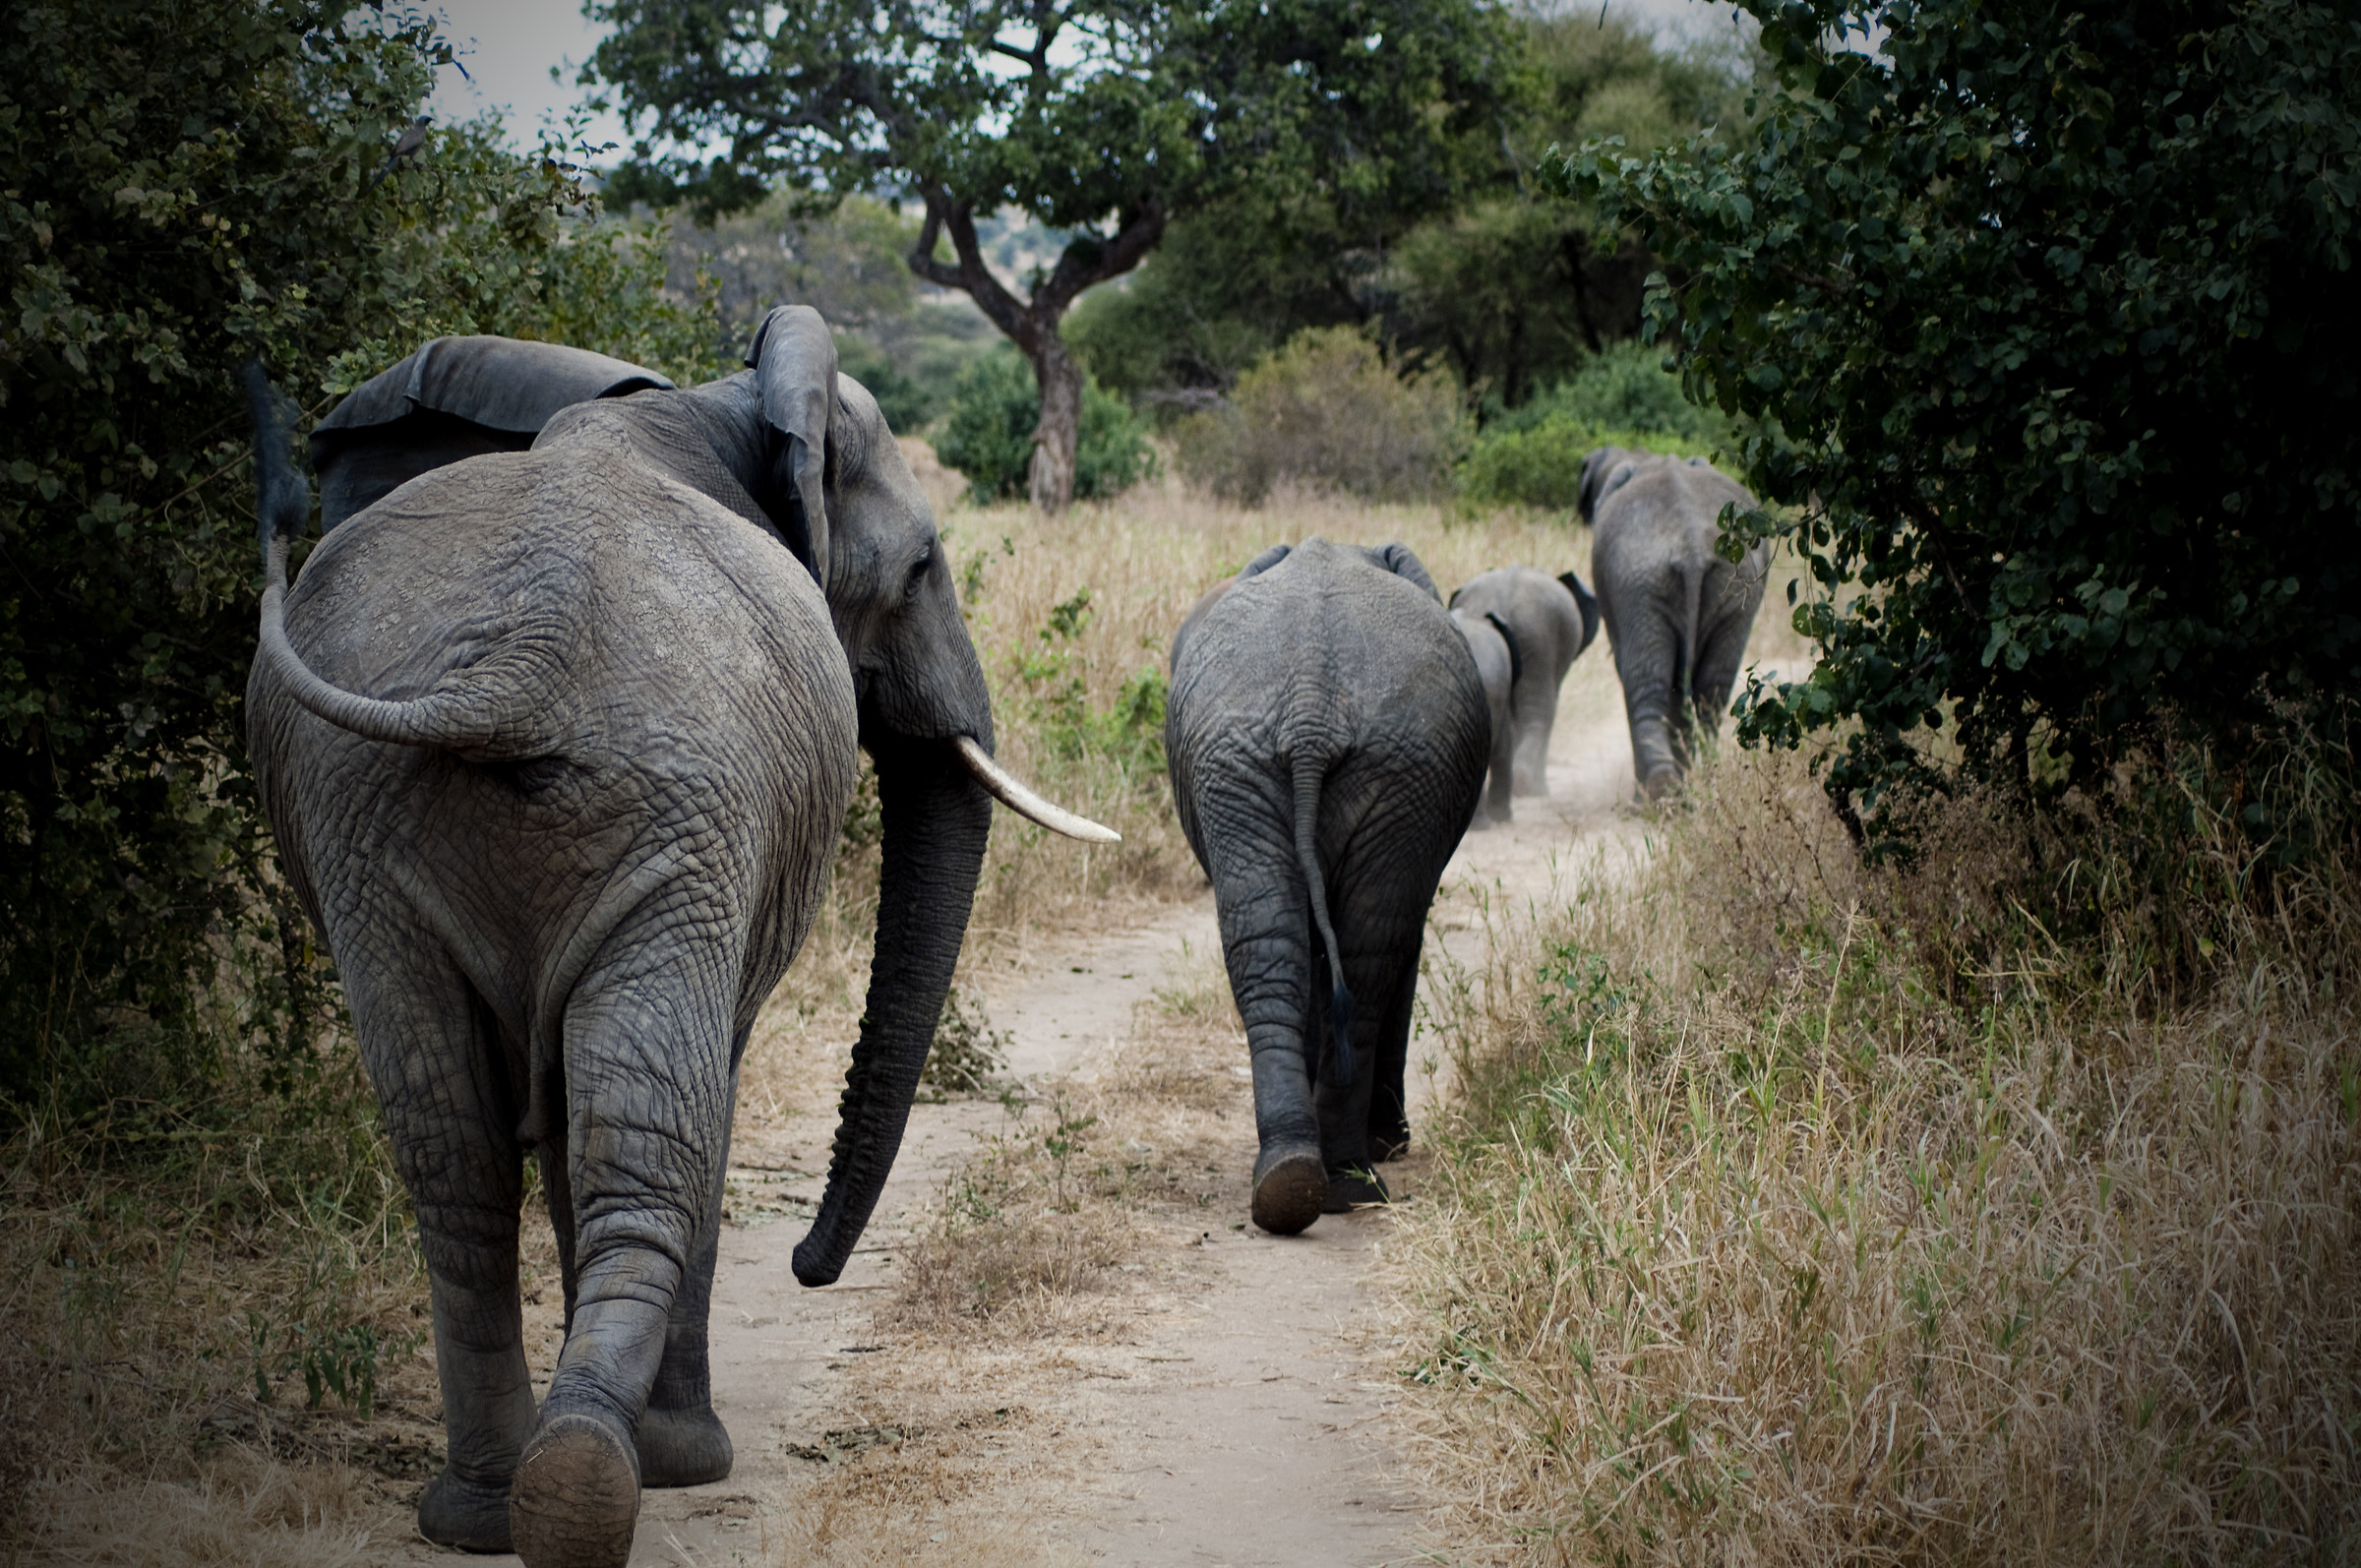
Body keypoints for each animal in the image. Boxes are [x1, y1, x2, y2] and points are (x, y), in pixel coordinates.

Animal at [242, 307, 1111, 1568]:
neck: (705, 400)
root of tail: (525, 654)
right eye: (918, 570)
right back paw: (598, 1483)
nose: (807, 1267)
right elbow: (703, 1094)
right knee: (650, 1140)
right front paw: (690, 1463)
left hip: (375, 831)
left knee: (460, 1156)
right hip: (664, 815)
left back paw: (498, 1506)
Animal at [1166, 538, 1488, 1235]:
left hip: (1250, 766)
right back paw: (1346, 1183)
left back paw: (1296, 1182)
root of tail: (1313, 706)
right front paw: (1391, 1142)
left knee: (1277, 946)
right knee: (1371, 955)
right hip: (1385, 773)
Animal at [1579, 447, 1769, 799]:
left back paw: (1656, 793)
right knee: (1712, 689)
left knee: (1645, 680)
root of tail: (1691, 545)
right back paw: (1700, 780)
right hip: (1733, 586)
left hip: (1639, 581)